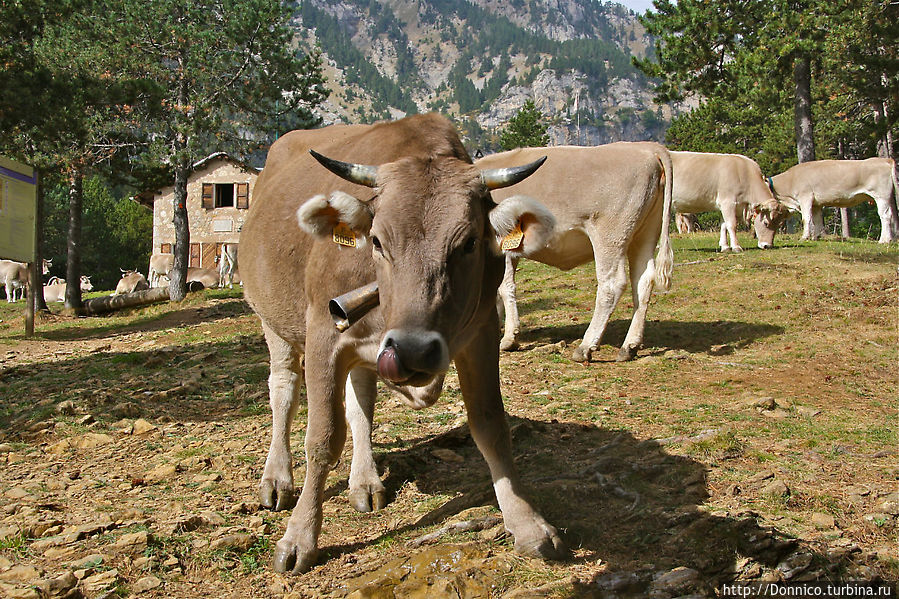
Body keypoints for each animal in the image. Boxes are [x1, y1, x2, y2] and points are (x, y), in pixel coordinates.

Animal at [239, 113, 564, 576]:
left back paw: (364, 480)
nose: (412, 351)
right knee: (283, 390)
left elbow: (491, 426)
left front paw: (527, 523)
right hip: (272, 320)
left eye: (468, 242)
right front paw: (300, 537)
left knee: (361, 398)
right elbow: (321, 439)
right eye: (377, 240)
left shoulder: (481, 332)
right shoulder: (323, 334)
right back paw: (277, 479)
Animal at [478, 143, 676, 364]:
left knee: (612, 284)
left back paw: (586, 346)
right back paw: (629, 347)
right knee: (643, 281)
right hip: (645, 233)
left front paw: (508, 339)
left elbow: (503, 287)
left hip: (610, 235)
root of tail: (647, 147)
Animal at [760, 159, 899, 246]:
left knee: (885, 216)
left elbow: (806, 218)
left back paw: (883, 240)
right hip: (889, 197)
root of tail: (885, 159)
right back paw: (891, 239)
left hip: (881, 195)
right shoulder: (816, 204)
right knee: (892, 215)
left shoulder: (805, 197)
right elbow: (816, 220)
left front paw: (804, 237)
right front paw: (815, 237)